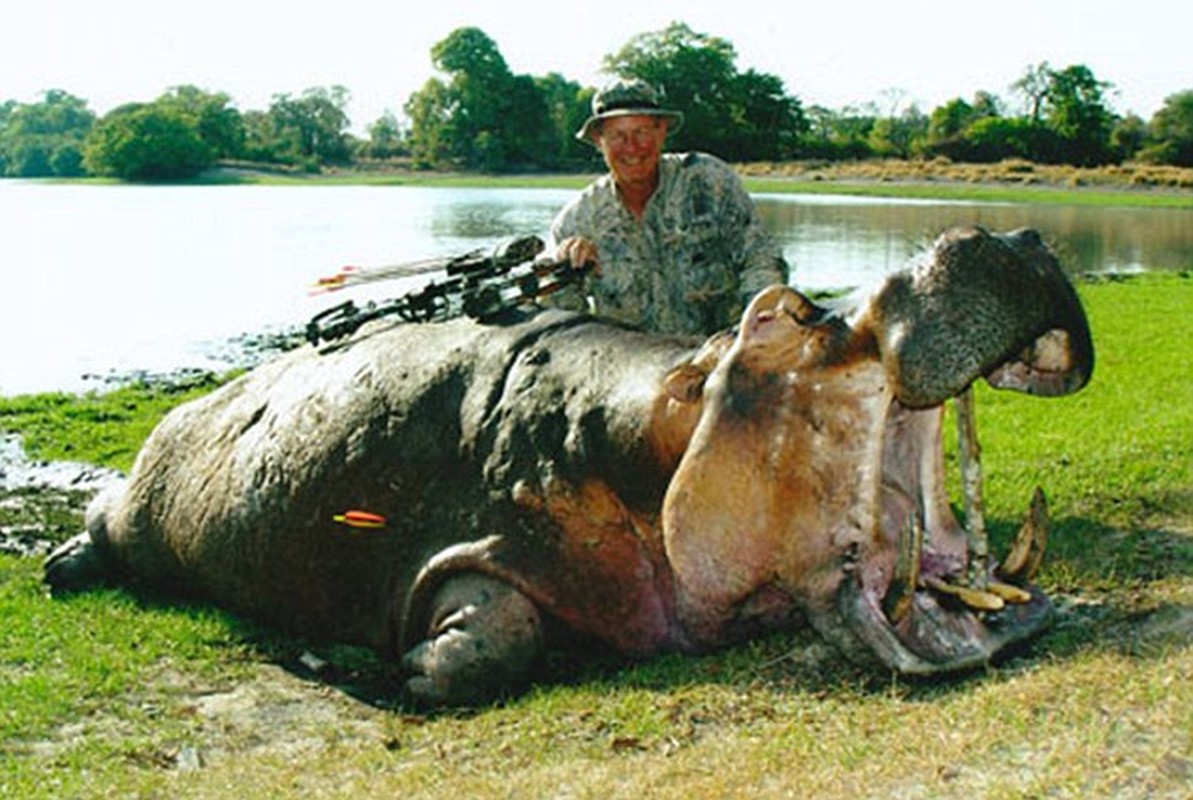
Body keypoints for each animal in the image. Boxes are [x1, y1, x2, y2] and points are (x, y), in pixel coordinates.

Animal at [46, 226, 1092, 705]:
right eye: (788, 315)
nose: (1002, 236)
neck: (657, 418)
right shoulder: (470, 541)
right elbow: (496, 631)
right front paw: (407, 669)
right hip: (140, 511)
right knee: (103, 521)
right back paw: (59, 570)